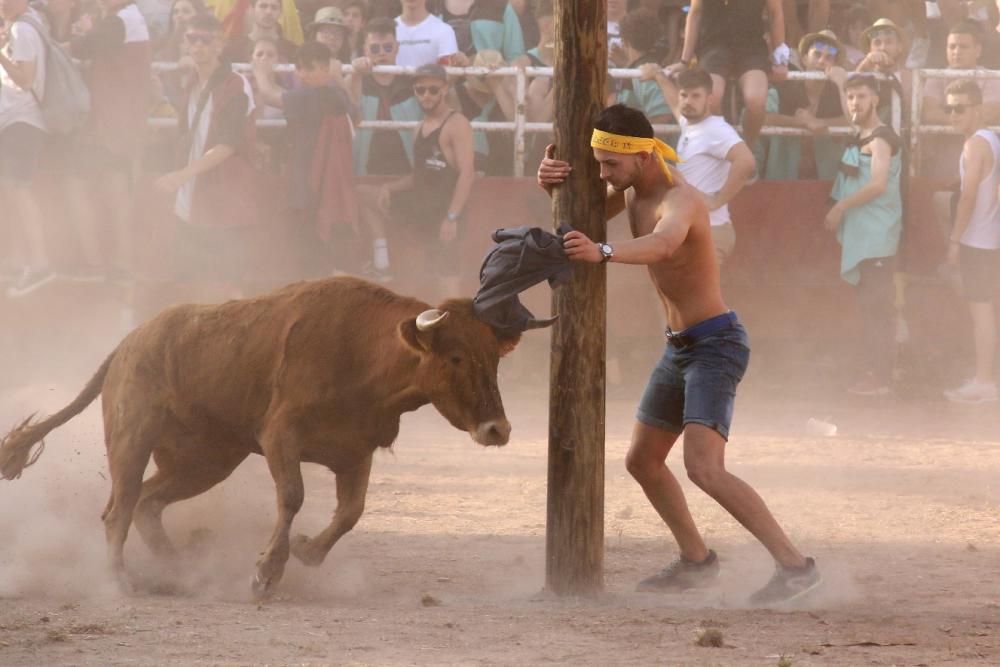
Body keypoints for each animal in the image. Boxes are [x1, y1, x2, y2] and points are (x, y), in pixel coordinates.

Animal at [0, 276, 540, 600]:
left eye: (493, 360)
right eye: (455, 357)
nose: (498, 429)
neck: (363, 353)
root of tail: (130, 342)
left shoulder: (355, 450)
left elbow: (350, 512)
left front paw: (306, 552)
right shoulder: (282, 435)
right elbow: (293, 496)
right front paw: (266, 573)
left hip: (207, 460)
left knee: (150, 503)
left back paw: (179, 571)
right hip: (132, 436)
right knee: (121, 506)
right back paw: (118, 580)